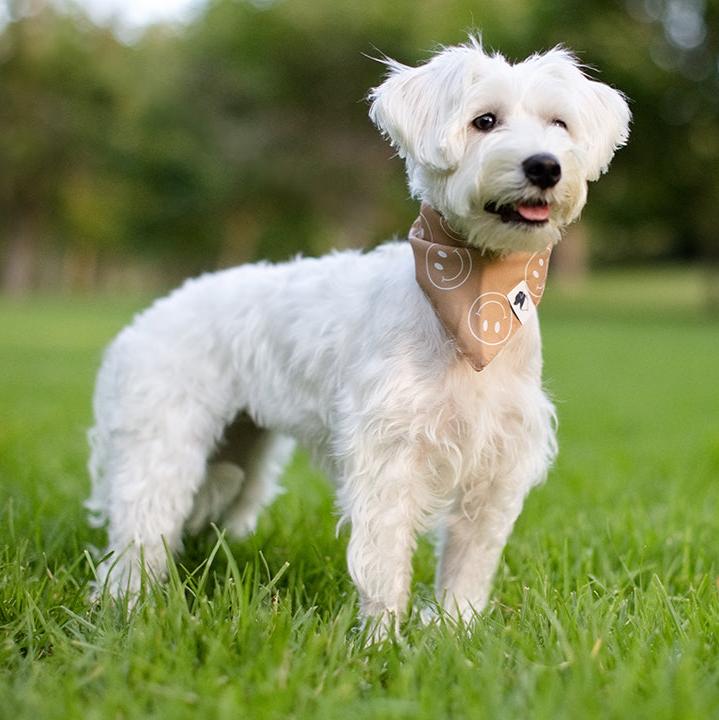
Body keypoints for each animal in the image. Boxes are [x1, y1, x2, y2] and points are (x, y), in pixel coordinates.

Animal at [87, 36, 632, 632]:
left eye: (559, 123)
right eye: (484, 121)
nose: (544, 167)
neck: (471, 299)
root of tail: (143, 321)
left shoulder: (496, 466)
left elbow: (470, 562)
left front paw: (455, 630)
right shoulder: (389, 455)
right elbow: (384, 557)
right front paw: (381, 638)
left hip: (241, 460)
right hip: (161, 447)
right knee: (136, 537)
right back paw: (127, 607)